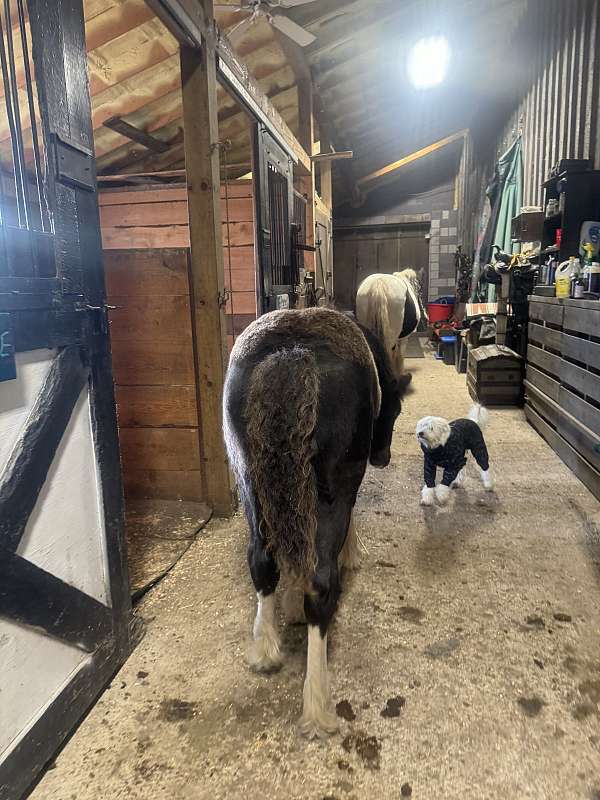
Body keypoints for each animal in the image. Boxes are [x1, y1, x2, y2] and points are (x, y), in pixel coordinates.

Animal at [223, 304, 410, 736]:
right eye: (394, 409)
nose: (383, 457)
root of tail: (291, 355)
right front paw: (352, 553)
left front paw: (289, 606)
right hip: (329, 491)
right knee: (322, 585)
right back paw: (317, 702)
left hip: (251, 481)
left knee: (262, 561)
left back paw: (265, 650)